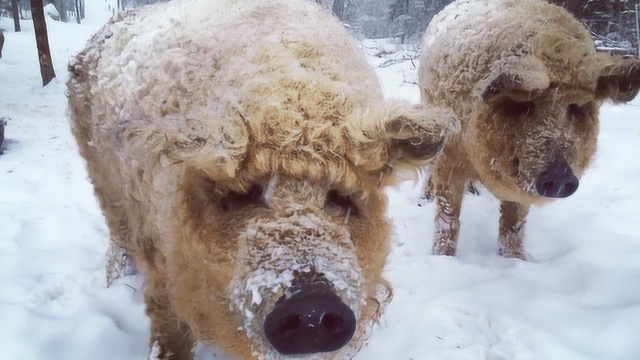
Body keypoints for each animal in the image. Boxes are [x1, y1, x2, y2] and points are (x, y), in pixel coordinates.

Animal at [66, 0, 460, 360]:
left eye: (340, 197)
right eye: (246, 194)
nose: (311, 306)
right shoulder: (159, 261)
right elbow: (169, 331)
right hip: (101, 178)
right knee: (117, 232)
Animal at [420, 0, 640, 260]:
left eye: (575, 107)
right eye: (525, 104)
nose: (560, 177)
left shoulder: (523, 183)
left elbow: (513, 222)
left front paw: (516, 259)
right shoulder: (451, 157)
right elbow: (448, 215)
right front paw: (443, 257)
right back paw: (425, 197)